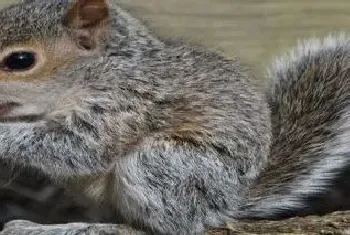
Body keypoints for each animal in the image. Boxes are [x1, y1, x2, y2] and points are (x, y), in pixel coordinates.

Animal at [0, 0, 348, 234]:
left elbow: (79, 148)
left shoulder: (126, 107)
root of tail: (226, 204)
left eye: (20, 60)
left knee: (163, 226)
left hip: (166, 166)